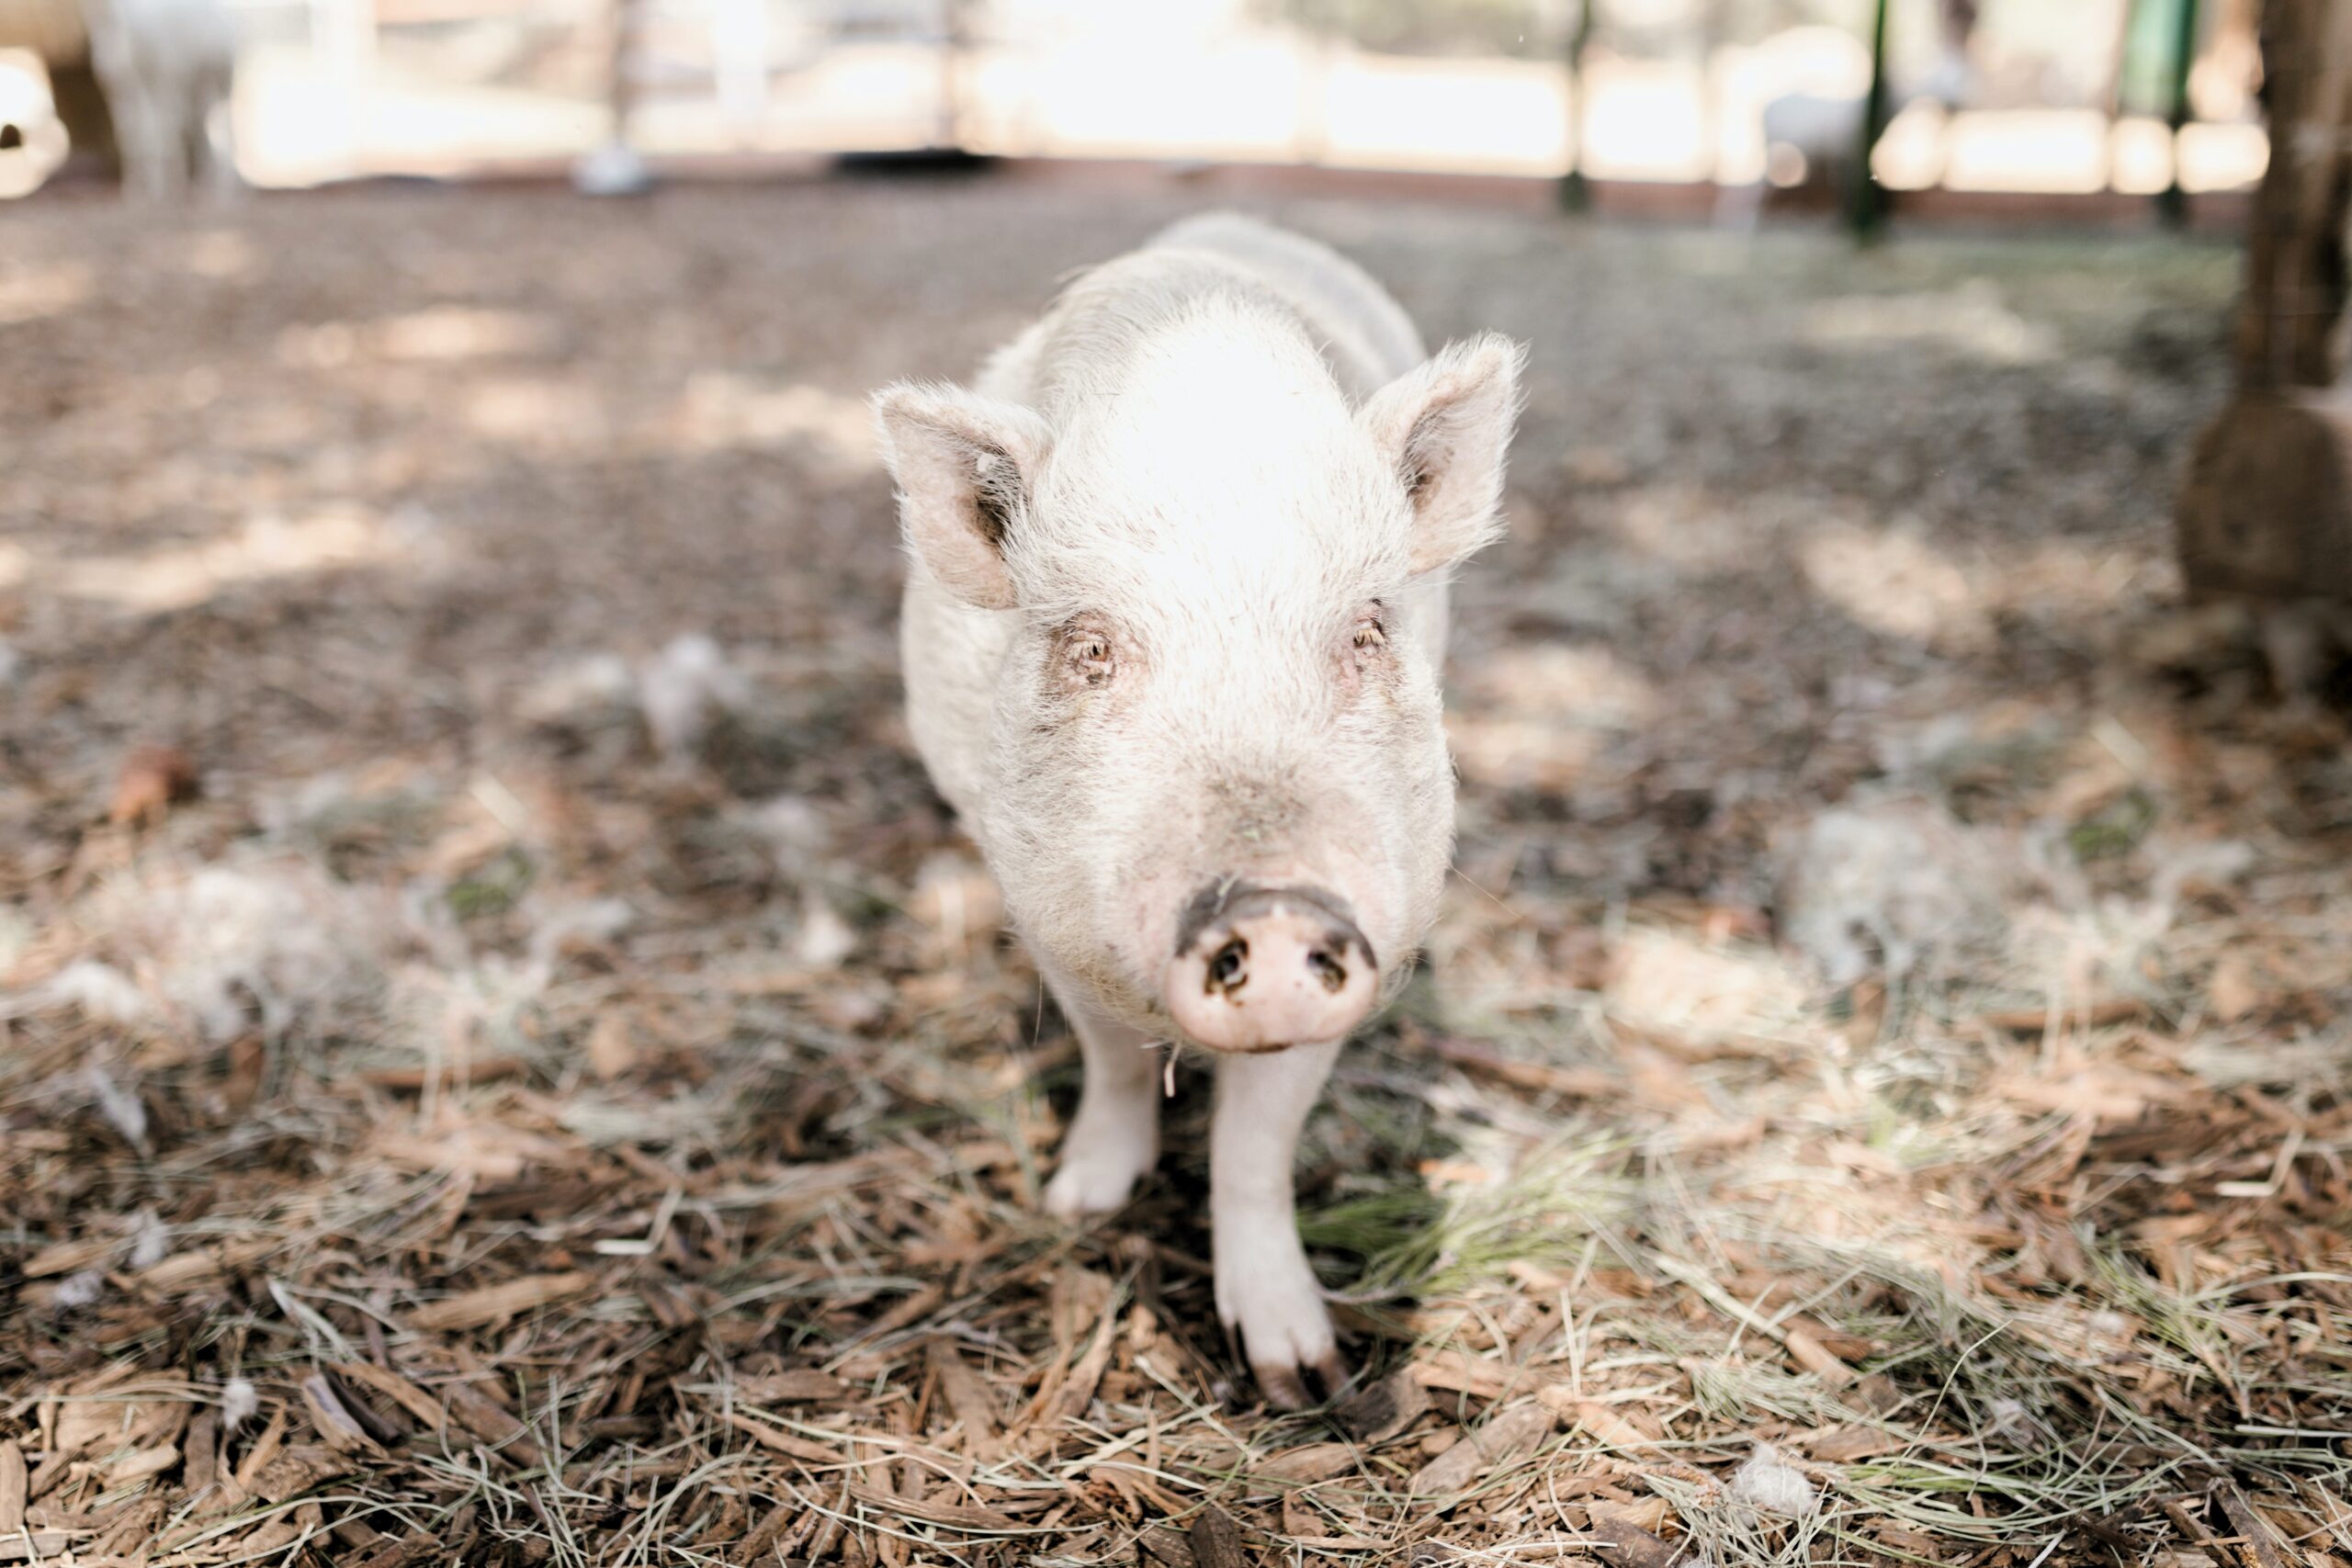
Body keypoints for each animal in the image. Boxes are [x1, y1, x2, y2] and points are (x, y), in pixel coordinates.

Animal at [875, 211, 1514, 1410]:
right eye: (1090, 648)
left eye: (1366, 632)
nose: (1273, 908)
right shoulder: (1042, 906)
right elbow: (1113, 1062)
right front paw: (1080, 1204)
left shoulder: (1380, 923)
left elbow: (1257, 1145)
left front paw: (1304, 1380)